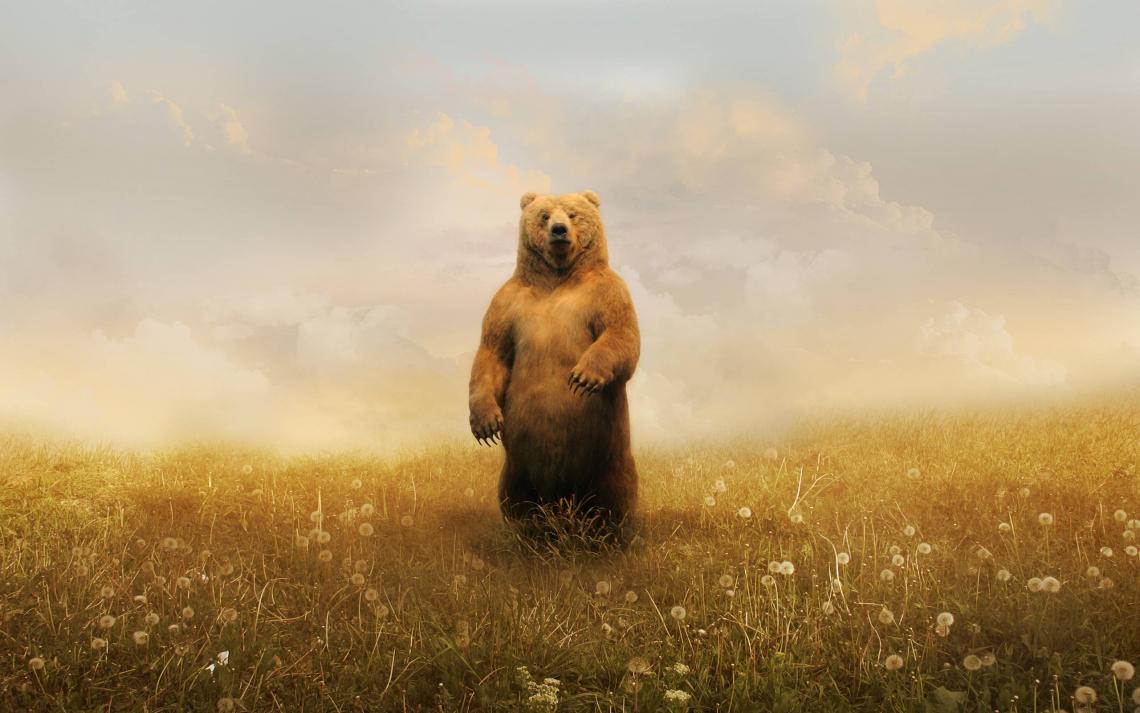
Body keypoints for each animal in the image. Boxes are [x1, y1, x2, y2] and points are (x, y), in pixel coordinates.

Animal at [468, 189, 640, 539]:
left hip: (609, 458)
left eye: (573, 214)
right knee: (515, 497)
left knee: (615, 495)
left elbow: (621, 334)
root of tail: (561, 504)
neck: (558, 276)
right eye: (545, 215)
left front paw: (583, 377)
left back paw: (610, 535)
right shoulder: (508, 303)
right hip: (517, 467)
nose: (559, 231)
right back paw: (527, 531)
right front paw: (485, 424)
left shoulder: (606, 292)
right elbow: (492, 352)